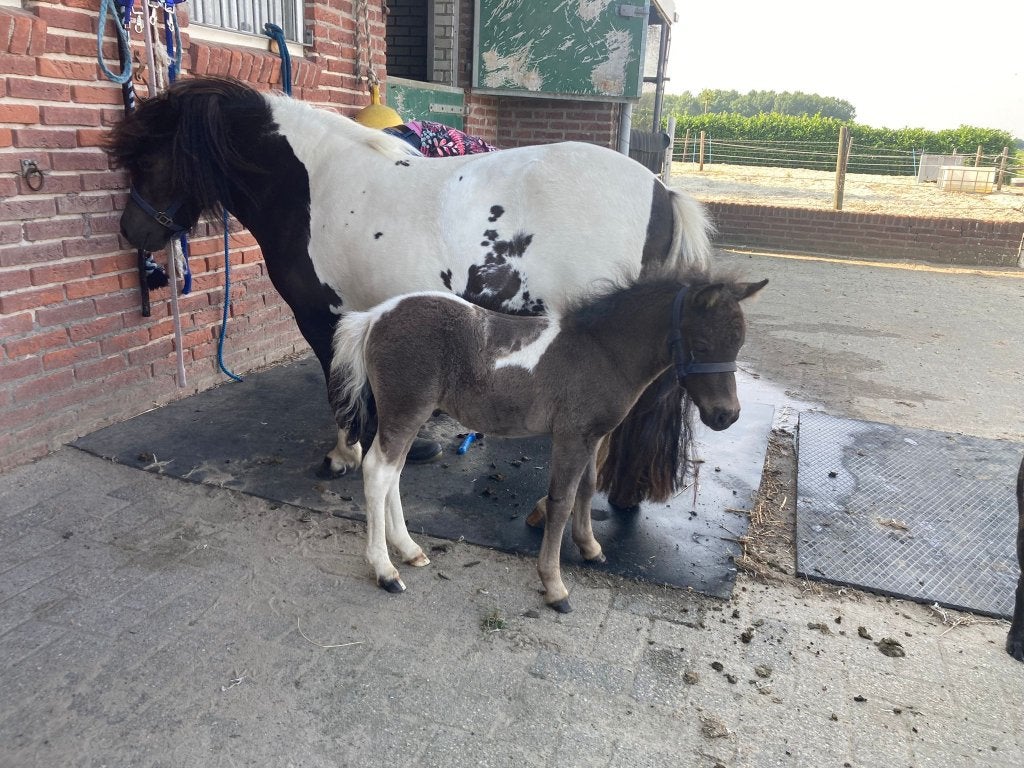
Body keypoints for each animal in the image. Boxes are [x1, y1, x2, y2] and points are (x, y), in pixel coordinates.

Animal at [104, 76, 714, 509]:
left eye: (151, 158)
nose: (133, 233)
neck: (312, 185)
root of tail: (662, 192)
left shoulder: (322, 317)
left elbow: (340, 387)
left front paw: (343, 455)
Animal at [329, 267, 767, 612]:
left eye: (740, 343)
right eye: (702, 345)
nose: (726, 416)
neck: (603, 352)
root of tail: (375, 316)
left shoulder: (591, 437)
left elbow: (588, 487)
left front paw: (591, 549)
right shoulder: (571, 437)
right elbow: (561, 501)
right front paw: (555, 587)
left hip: (405, 414)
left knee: (393, 473)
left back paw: (409, 550)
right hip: (406, 409)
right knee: (378, 472)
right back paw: (385, 571)